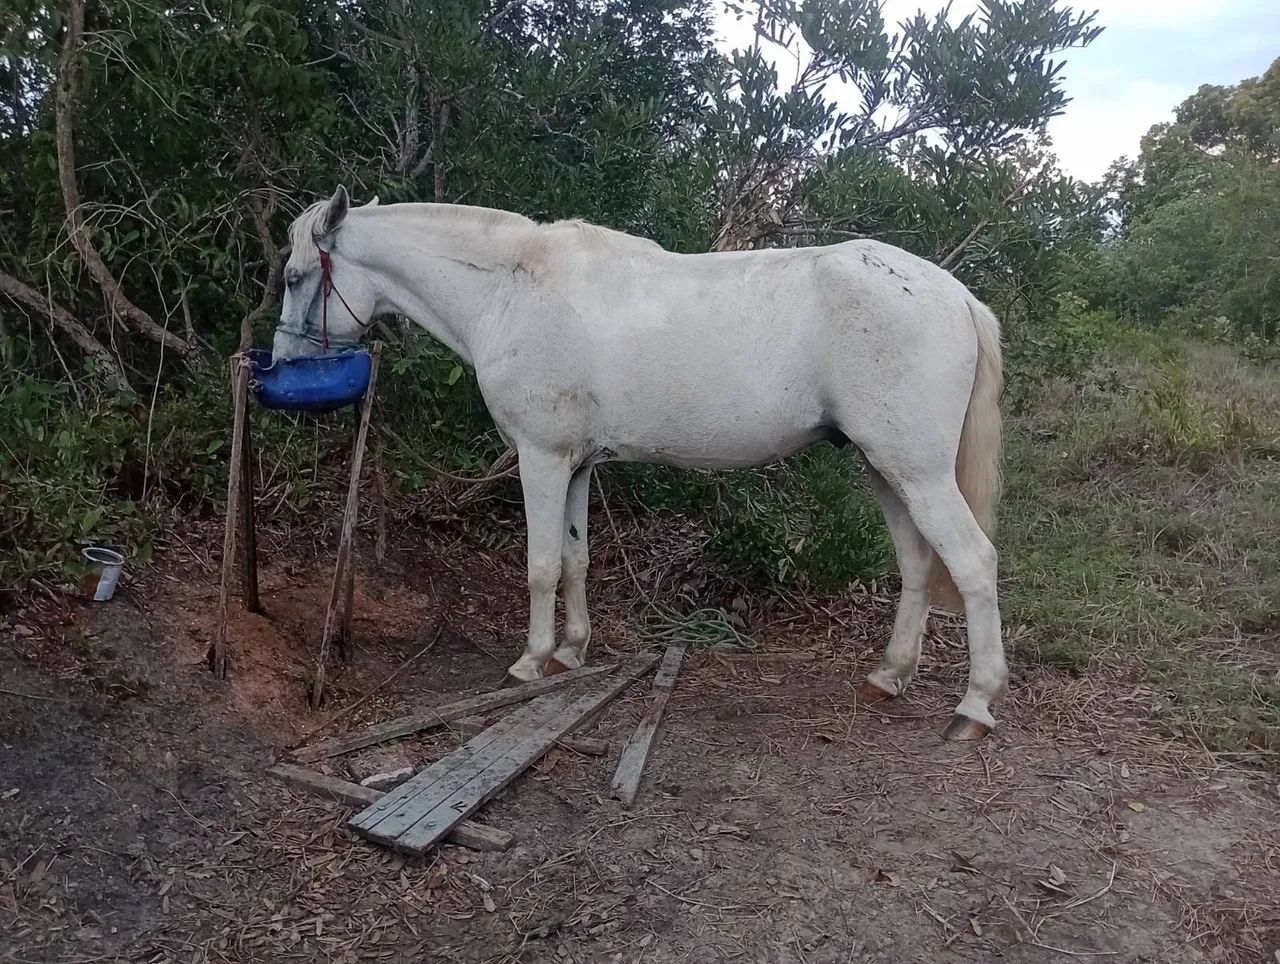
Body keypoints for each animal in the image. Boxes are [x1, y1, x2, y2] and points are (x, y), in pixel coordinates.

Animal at [271, 186, 1006, 740]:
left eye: (295, 276)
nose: (280, 365)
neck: (513, 289)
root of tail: (956, 295)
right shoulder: (575, 465)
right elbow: (574, 559)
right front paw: (572, 651)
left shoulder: (540, 458)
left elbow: (541, 566)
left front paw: (530, 661)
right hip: (889, 470)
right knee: (917, 564)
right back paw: (890, 674)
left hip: (917, 473)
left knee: (972, 562)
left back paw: (974, 706)